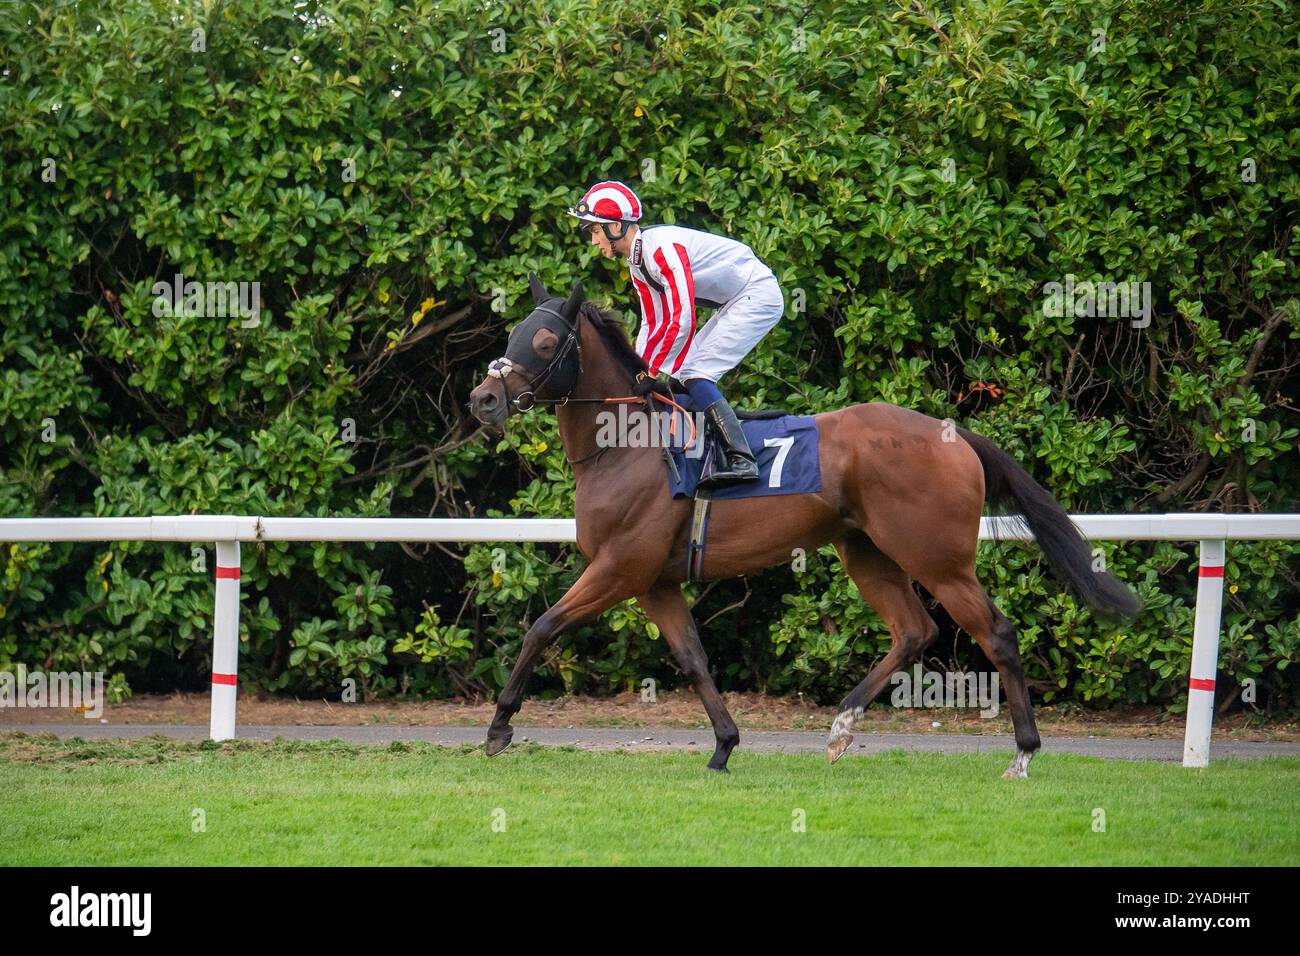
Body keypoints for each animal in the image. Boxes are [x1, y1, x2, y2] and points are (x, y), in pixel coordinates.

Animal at [465, 274, 1138, 780]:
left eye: (544, 341)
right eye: (512, 333)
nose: (483, 401)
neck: (625, 446)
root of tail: (955, 434)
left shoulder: (618, 568)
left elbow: (543, 628)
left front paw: (499, 727)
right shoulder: (654, 581)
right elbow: (693, 658)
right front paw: (724, 746)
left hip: (938, 559)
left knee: (995, 632)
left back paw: (1023, 754)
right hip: (865, 550)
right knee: (914, 630)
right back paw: (841, 729)